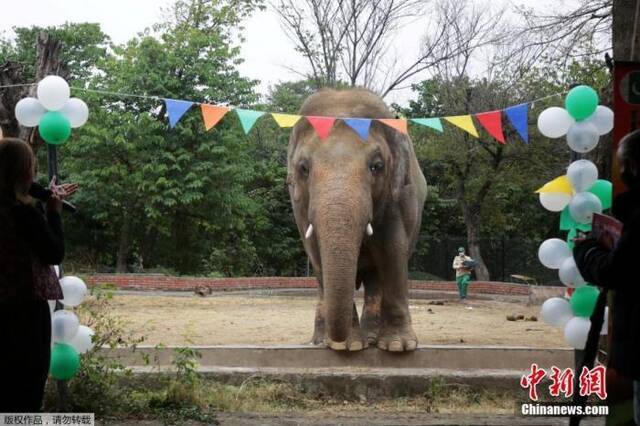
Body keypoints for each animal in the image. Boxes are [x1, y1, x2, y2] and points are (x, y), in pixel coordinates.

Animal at [288, 87, 428, 352]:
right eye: (303, 168)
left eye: (377, 166)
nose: (338, 339)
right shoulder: (299, 204)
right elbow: (316, 254)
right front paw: (347, 347)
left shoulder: (398, 197)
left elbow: (393, 250)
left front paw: (398, 346)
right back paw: (320, 342)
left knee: (376, 278)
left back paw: (372, 338)